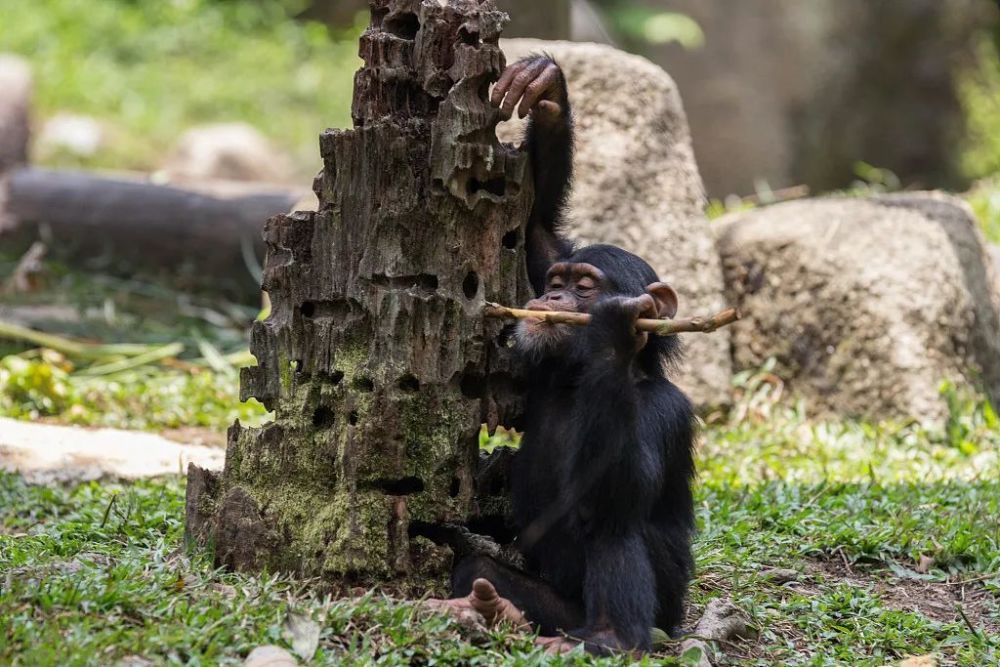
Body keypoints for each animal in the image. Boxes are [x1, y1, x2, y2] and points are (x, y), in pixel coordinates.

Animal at [438, 54, 696, 656]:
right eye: (555, 281)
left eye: (583, 287)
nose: (553, 298)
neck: (577, 379)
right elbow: (533, 227)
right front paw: (545, 87)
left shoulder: (665, 410)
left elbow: (620, 490)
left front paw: (614, 333)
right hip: (553, 607)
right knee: (479, 571)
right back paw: (497, 609)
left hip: (659, 618)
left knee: (613, 525)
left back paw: (612, 637)